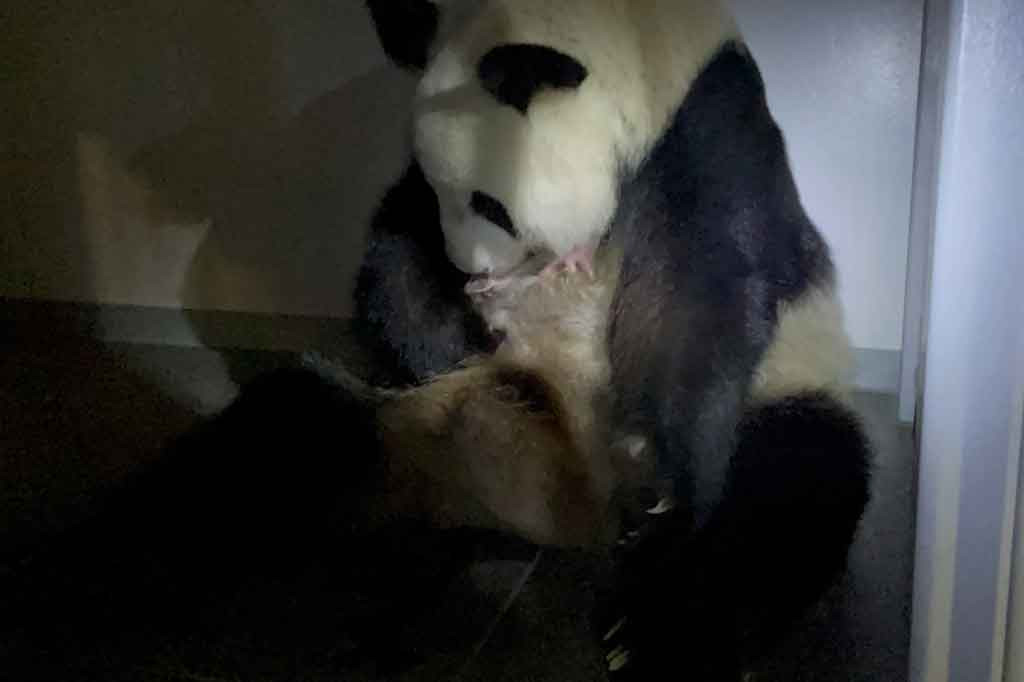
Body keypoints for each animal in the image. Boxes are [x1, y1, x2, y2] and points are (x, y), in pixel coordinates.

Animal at [355, 0, 873, 678]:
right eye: (444, 192)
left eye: (490, 204)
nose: (470, 269)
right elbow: (397, 244)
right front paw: (447, 337)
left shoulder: (707, 126)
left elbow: (701, 288)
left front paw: (664, 483)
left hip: (789, 387)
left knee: (789, 491)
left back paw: (656, 628)